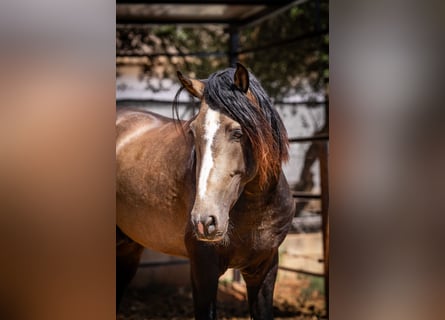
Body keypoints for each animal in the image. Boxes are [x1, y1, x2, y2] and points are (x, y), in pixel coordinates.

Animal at [115, 63, 294, 320]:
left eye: (237, 132)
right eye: (193, 131)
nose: (204, 221)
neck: (255, 210)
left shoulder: (265, 269)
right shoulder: (203, 271)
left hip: (128, 247)